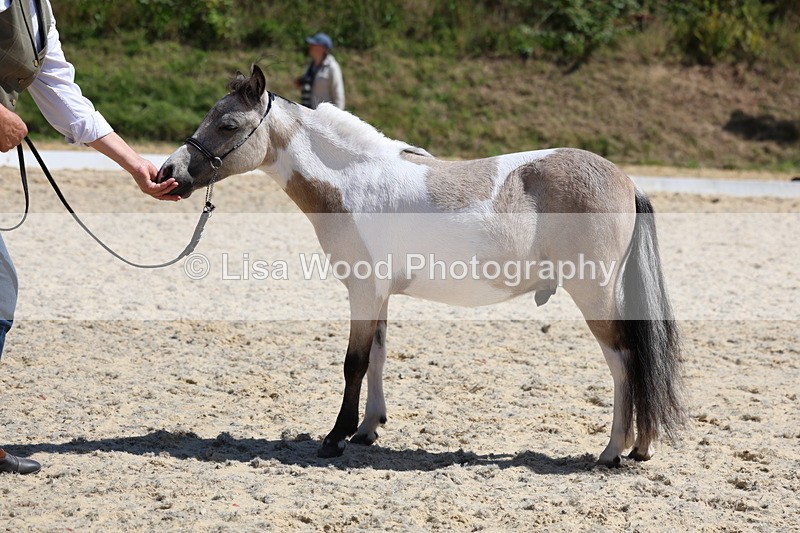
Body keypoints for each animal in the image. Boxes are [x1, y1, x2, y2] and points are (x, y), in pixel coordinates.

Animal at [158, 65, 684, 466]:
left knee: (624, 361)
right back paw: (640, 447)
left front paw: (335, 437)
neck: (354, 182)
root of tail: (625, 180)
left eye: (227, 125)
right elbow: (378, 355)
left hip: (593, 294)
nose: (169, 172)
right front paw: (368, 429)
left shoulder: (363, 292)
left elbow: (353, 363)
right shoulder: (379, 296)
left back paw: (612, 451)